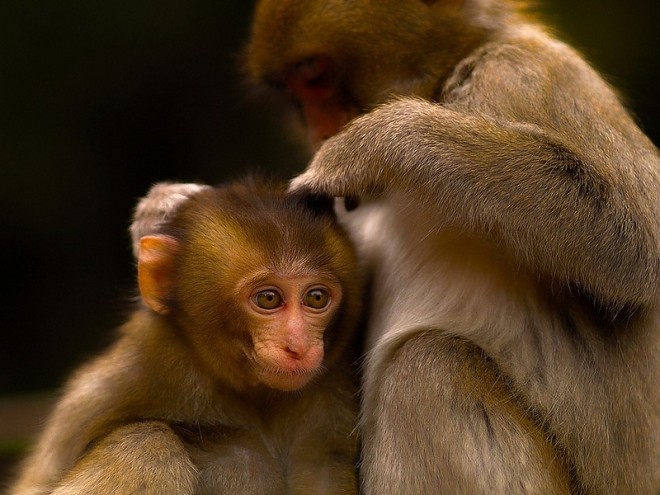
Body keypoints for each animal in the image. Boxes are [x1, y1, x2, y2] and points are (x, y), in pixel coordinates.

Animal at [10, 178, 360, 495]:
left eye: (316, 298)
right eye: (269, 299)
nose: (298, 346)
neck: (252, 396)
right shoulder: (113, 385)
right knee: (144, 445)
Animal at [246, 0, 660, 495]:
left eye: (316, 77)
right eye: (296, 90)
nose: (317, 131)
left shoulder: (522, 77)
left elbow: (636, 245)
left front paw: (375, 143)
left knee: (425, 371)